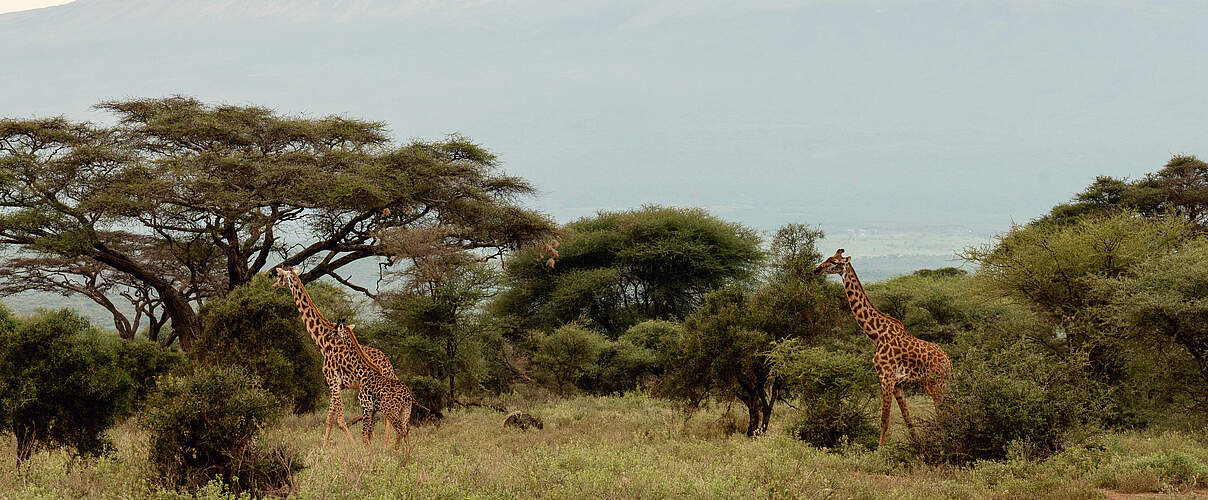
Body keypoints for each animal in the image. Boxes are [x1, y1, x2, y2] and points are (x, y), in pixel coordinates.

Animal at [272, 265, 398, 447]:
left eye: (280, 276)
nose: (273, 285)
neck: (322, 340)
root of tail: (389, 366)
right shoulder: (337, 384)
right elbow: (329, 418)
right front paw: (324, 448)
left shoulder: (332, 381)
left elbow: (339, 420)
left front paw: (354, 446)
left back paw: (384, 444)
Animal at [331, 321, 415, 452]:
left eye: (335, 331)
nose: (330, 336)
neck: (363, 372)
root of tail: (408, 396)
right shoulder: (373, 409)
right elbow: (369, 434)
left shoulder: (366, 406)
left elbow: (364, 436)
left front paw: (370, 453)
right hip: (405, 410)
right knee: (406, 429)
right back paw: (407, 453)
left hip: (390, 410)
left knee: (400, 430)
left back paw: (395, 452)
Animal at [813, 249, 951, 447]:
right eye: (828, 258)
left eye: (834, 261)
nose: (817, 269)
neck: (875, 335)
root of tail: (948, 362)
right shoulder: (897, 383)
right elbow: (907, 419)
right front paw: (916, 445)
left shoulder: (886, 377)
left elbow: (884, 420)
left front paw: (879, 451)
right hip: (938, 384)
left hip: (935, 384)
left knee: (944, 411)